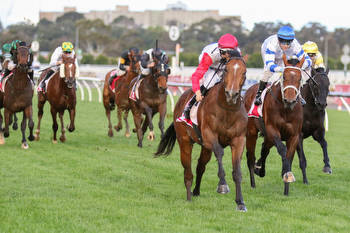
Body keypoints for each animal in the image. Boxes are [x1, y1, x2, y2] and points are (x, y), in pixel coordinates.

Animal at [156, 55, 249, 212]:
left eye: (244, 72)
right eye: (226, 70)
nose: (231, 94)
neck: (227, 110)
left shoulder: (239, 140)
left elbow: (237, 171)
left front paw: (240, 202)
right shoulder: (209, 135)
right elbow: (220, 153)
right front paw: (222, 185)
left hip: (205, 148)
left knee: (200, 166)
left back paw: (196, 191)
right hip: (185, 141)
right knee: (188, 171)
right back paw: (188, 196)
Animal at [243, 54, 304, 195]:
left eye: (299, 78)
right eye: (284, 76)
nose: (290, 99)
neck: (286, 109)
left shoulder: (294, 135)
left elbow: (289, 156)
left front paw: (286, 185)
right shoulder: (272, 130)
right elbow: (283, 150)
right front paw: (286, 174)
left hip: (267, 137)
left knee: (264, 149)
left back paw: (260, 169)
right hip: (251, 132)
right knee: (250, 157)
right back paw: (253, 183)